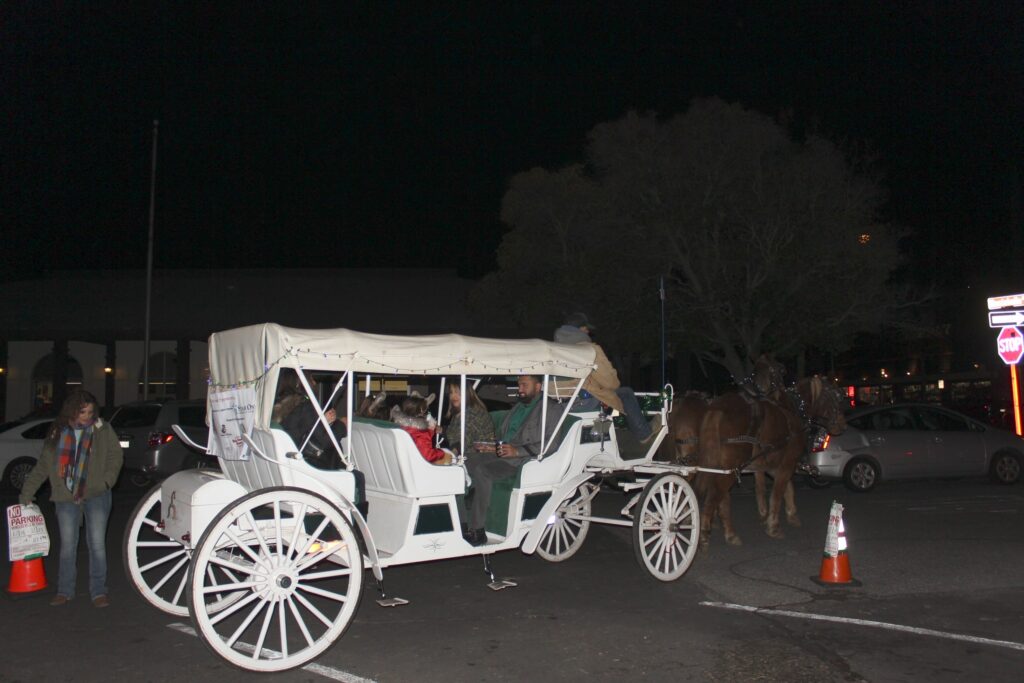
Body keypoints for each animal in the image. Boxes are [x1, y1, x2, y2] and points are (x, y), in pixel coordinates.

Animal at [696, 374, 847, 548]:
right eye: (836, 396)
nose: (843, 425)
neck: (794, 410)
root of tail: (719, 407)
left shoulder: (769, 465)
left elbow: (782, 488)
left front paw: (788, 515)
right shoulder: (787, 463)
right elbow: (777, 493)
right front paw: (773, 526)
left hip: (722, 468)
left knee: (722, 499)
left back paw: (729, 533)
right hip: (730, 470)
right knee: (714, 497)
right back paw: (704, 534)